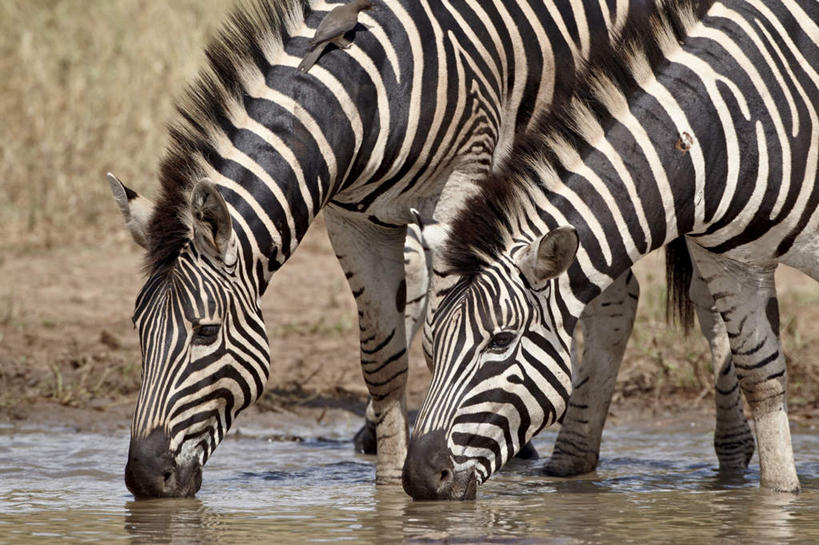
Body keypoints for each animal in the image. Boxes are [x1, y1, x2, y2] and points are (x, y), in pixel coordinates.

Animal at [109, 0, 744, 498]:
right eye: (138, 329)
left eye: (205, 332)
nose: (143, 479)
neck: (359, 89)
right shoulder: (351, 221)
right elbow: (381, 357)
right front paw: (391, 483)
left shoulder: (464, 182)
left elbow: (448, 324)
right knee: (615, 295)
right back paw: (572, 458)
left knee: (713, 301)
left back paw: (734, 454)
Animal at [406, 0, 819, 498]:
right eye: (431, 345)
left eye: (501, 340)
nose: (419, 477)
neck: (720, 133)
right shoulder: (731, 263)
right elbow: (760, 376)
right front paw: (779, 500)